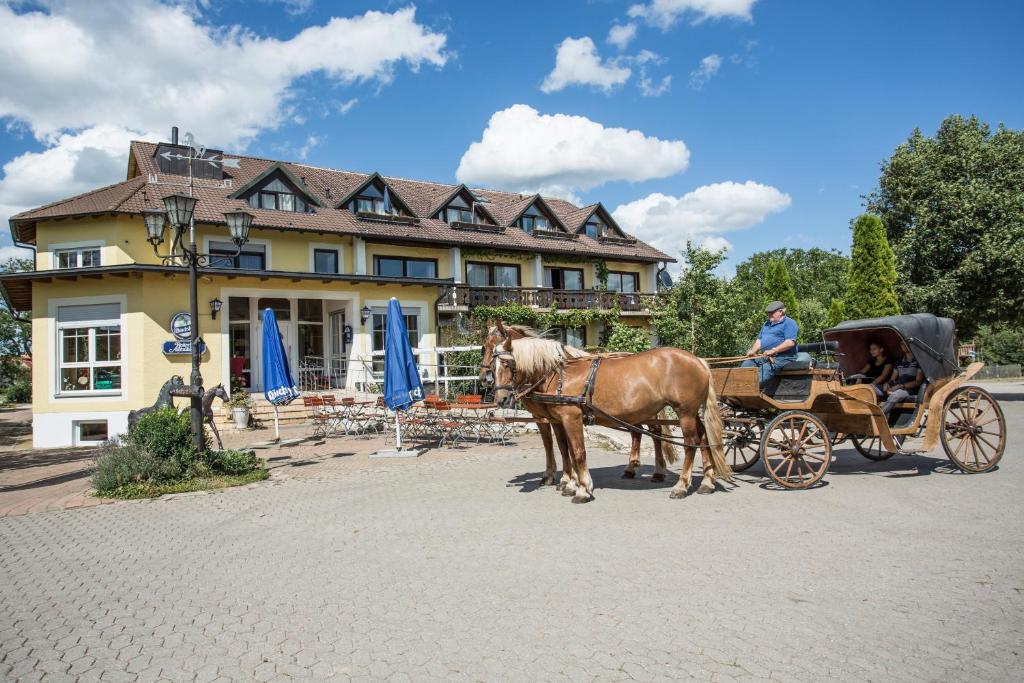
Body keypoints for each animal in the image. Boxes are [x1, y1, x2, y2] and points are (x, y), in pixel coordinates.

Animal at [485, 321, 729, 501]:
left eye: (508, 364)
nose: (500, 398)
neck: (559, 374)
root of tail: (698, 360)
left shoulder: (570, 417)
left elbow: (577, 452)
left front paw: (582, 489)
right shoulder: (557, 419)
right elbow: (566, 450)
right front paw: (571, 483)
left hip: (685, 412)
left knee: (690, 443)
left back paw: (681, 485)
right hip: (690, 412)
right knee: (702, 437)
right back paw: (707, 481)